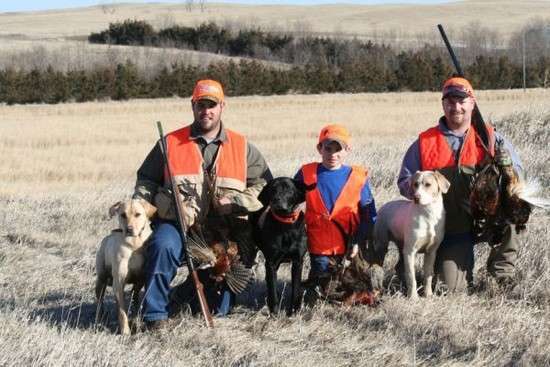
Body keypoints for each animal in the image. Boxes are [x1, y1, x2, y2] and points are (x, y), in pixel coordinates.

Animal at [96, 198, 157, 336]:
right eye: (123, 215)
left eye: (138, 214)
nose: (129, 229)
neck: (134, 244)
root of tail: (105, 239)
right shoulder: (118, 283)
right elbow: (122, 311)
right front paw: (125, 331)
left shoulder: (142, 279)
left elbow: (136, 302)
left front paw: (137, 322)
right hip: (101, 280)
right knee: (99, 301)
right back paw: (98, 319)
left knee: (134, 298)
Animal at [252, 178, 312, 316]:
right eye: (272, 189)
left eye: (288, 189)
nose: (276, 200)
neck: (286, 225)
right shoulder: (271, 262)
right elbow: (273, 289)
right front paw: (275, 312)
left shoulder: (297, 262)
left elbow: (296, 289)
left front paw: (293, 311)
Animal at [378, 171, 450, 300]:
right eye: (415, 184)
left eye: (428, 184)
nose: (416, 197)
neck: (428, 216)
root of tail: (383, 206)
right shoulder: (410, 251)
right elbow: (411, 277)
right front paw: (413, 297)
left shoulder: (431, 252)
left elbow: (428, 275)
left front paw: (428, 294)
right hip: (382, 246)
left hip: (402, 249)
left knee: (399, 268)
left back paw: (402, 287)